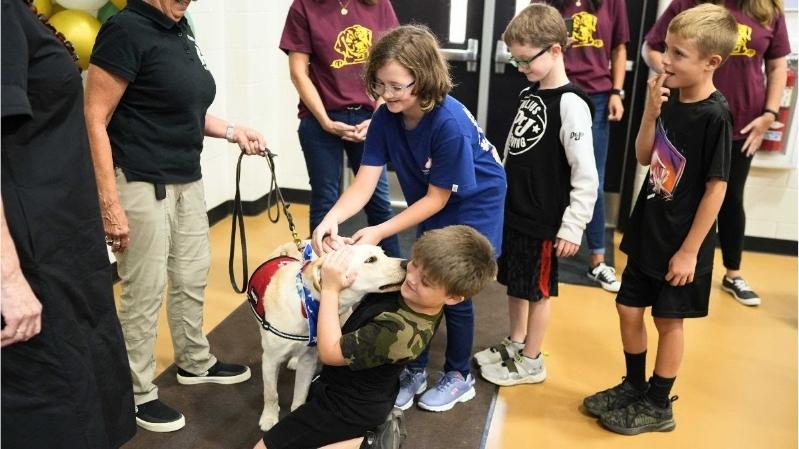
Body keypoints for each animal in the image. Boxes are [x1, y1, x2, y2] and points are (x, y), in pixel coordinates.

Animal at [248, 242, 406, 430]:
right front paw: (269, 417)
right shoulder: (270, 360)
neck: (306, 305)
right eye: (371, 260)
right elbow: (271, 393)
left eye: (384, 253)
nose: (406, 263)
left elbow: (300, 394)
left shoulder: (308, 360)